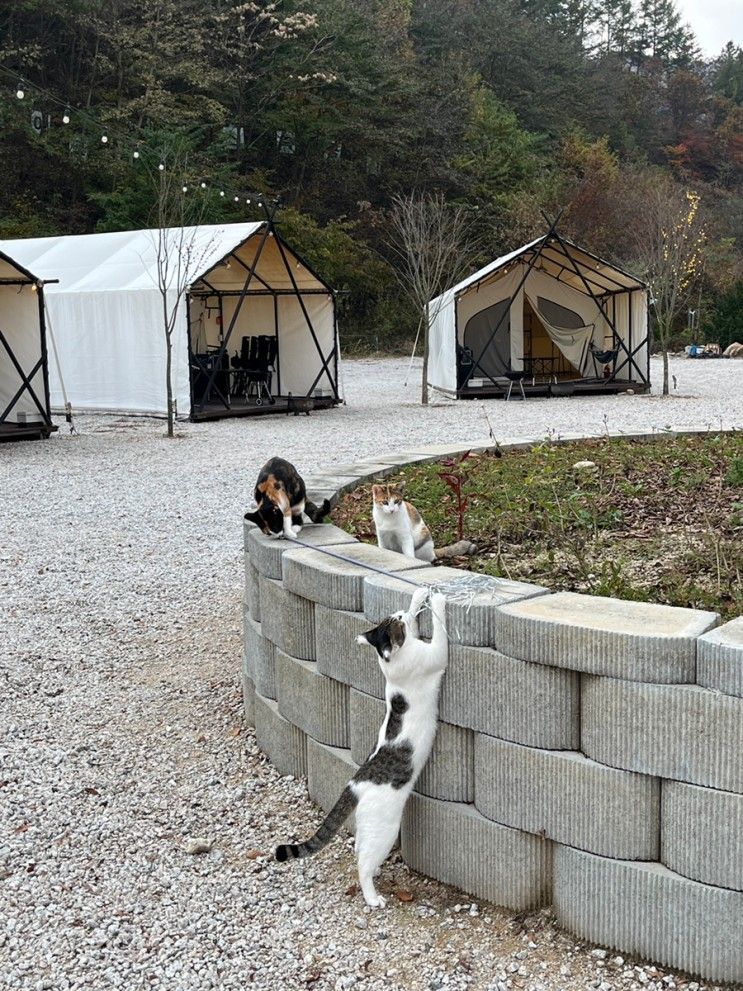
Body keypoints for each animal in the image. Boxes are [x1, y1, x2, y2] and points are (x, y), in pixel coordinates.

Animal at [274, 584, 444, 912]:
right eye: (397, 623)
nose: (400, 613)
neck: (390, 664)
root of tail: (355, 782)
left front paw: (419, 597)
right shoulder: (431, 656)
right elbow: (441, 635)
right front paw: (438, 602)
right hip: (384, 829)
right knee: (362, 863)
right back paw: (372, 896)